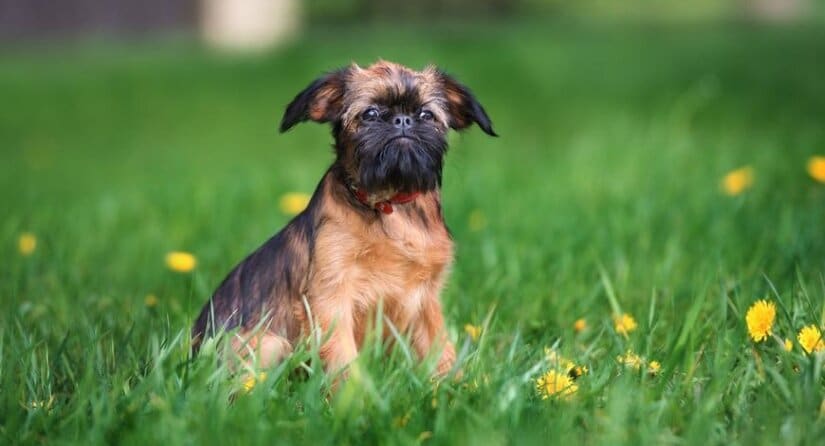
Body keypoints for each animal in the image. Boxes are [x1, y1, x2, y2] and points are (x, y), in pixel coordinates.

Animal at [193, 61, 496, 378]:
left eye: (426, 115)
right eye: (370, 114)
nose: (402, 120)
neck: (390, 205)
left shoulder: (426, 302)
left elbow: (442, 351)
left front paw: (457, 385)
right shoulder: (332, 298)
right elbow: (342, 358)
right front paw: (355, 393)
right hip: (269, 343)